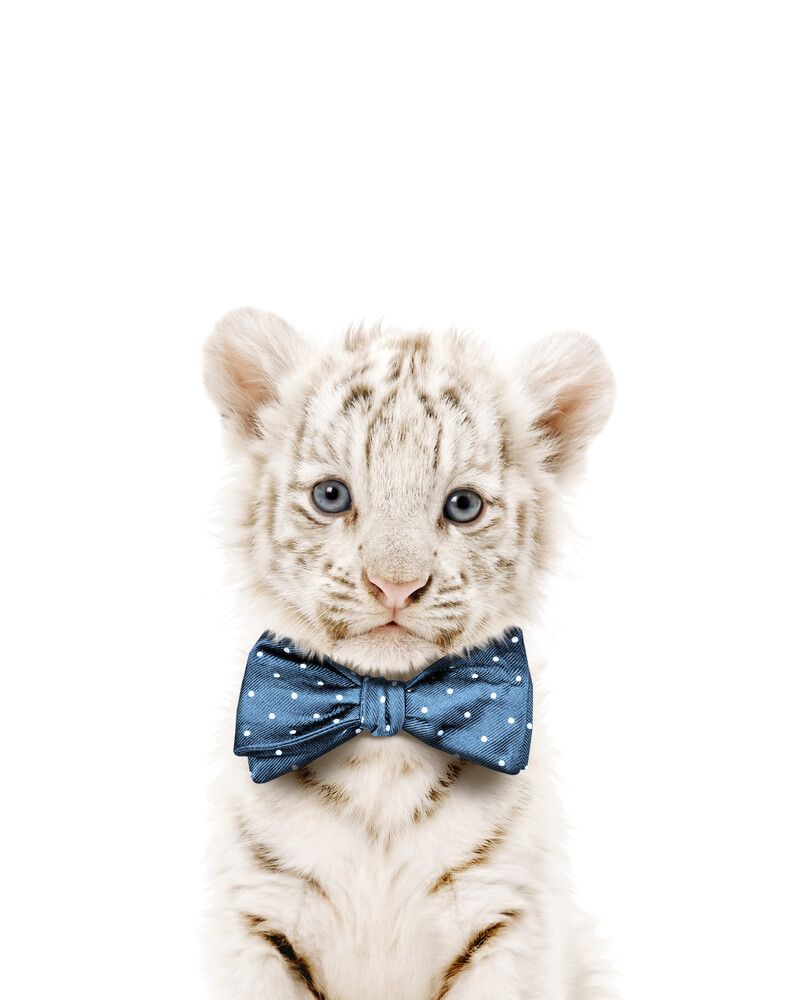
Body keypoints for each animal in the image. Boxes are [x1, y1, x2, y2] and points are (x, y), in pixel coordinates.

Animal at [202, 307, 617, 1000]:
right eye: (332, 496)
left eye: (463, 505)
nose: (394, 584)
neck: (385, 740)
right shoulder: (258, 918)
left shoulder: (507, 920)